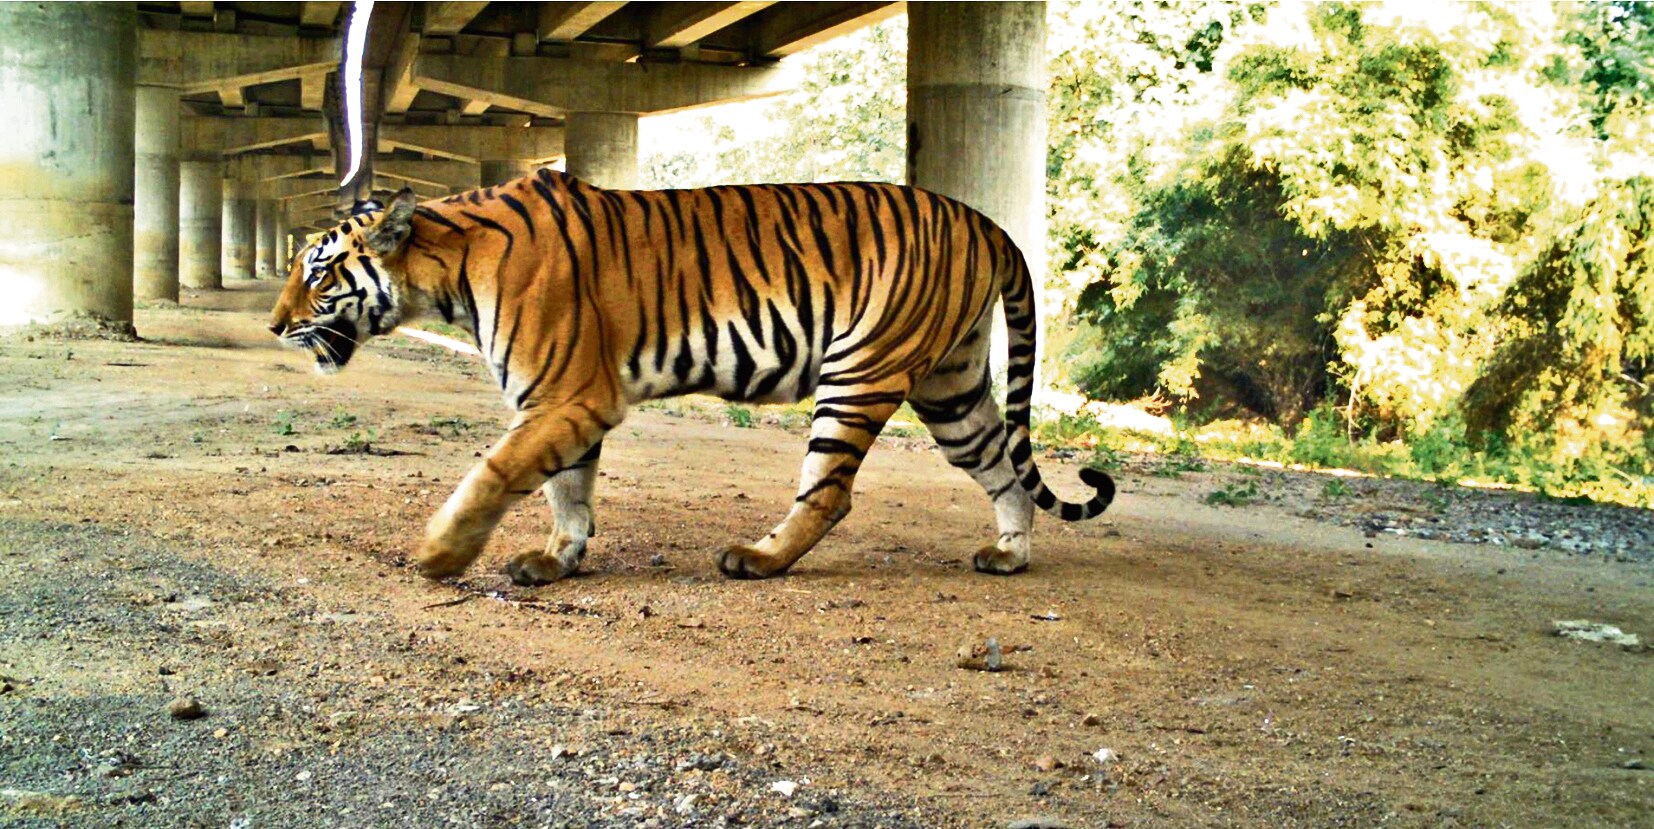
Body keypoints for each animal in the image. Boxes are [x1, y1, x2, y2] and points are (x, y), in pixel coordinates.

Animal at [268, 169, 1114, 585]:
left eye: (317, 272)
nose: (274, 325)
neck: (446, 268)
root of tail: (984, 219)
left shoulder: (569, 395)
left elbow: (497, 472)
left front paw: (442, 553)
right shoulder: (560, 403)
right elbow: (566, 489)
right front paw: (558, 560)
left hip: (862, 367)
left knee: (830, 492)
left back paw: (760, 559)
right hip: (952, 384)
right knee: (1001, 465)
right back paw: (1009, 553)